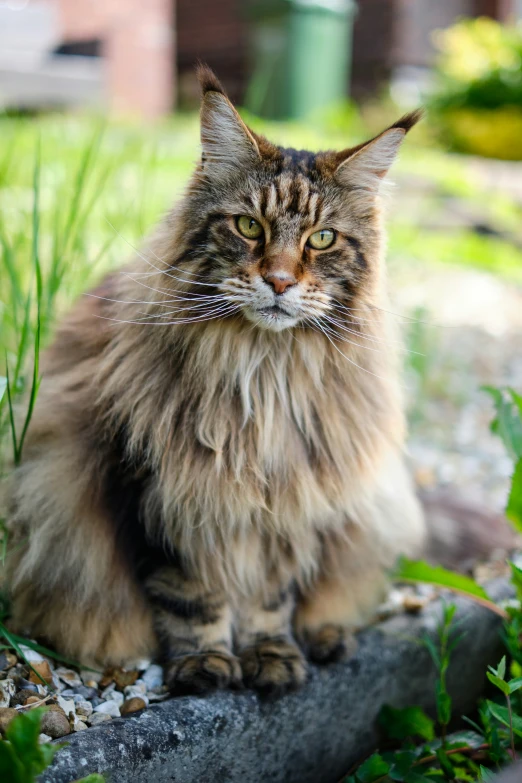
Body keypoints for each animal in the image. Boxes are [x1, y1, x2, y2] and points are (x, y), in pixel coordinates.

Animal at [6, 64, 424, 696]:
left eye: (321, 239)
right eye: (249, 226)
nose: (279, 281)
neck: (264, 374)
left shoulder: (289, 501)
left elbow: (270, 601)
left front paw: (270, 655)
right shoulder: (162, 495)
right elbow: (191, 597)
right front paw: (205, 664)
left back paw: (327, 638)